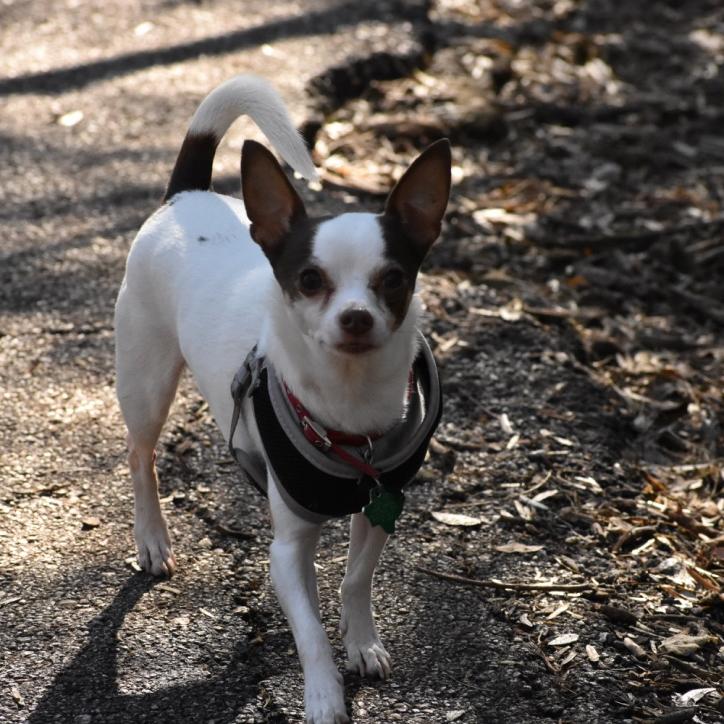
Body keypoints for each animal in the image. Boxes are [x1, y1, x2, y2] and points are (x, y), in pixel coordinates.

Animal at [114, 75, 450, 724]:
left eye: (393, 280)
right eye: (310, 280)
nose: (355, 316)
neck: (348, 406)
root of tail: (187, 195)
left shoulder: (382, 505)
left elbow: (356, 580)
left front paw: (361, 641)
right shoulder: (288, 550)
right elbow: (309, 632)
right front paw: (323, 695)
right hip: (145, 384)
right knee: (141, 457)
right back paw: (153, 538)